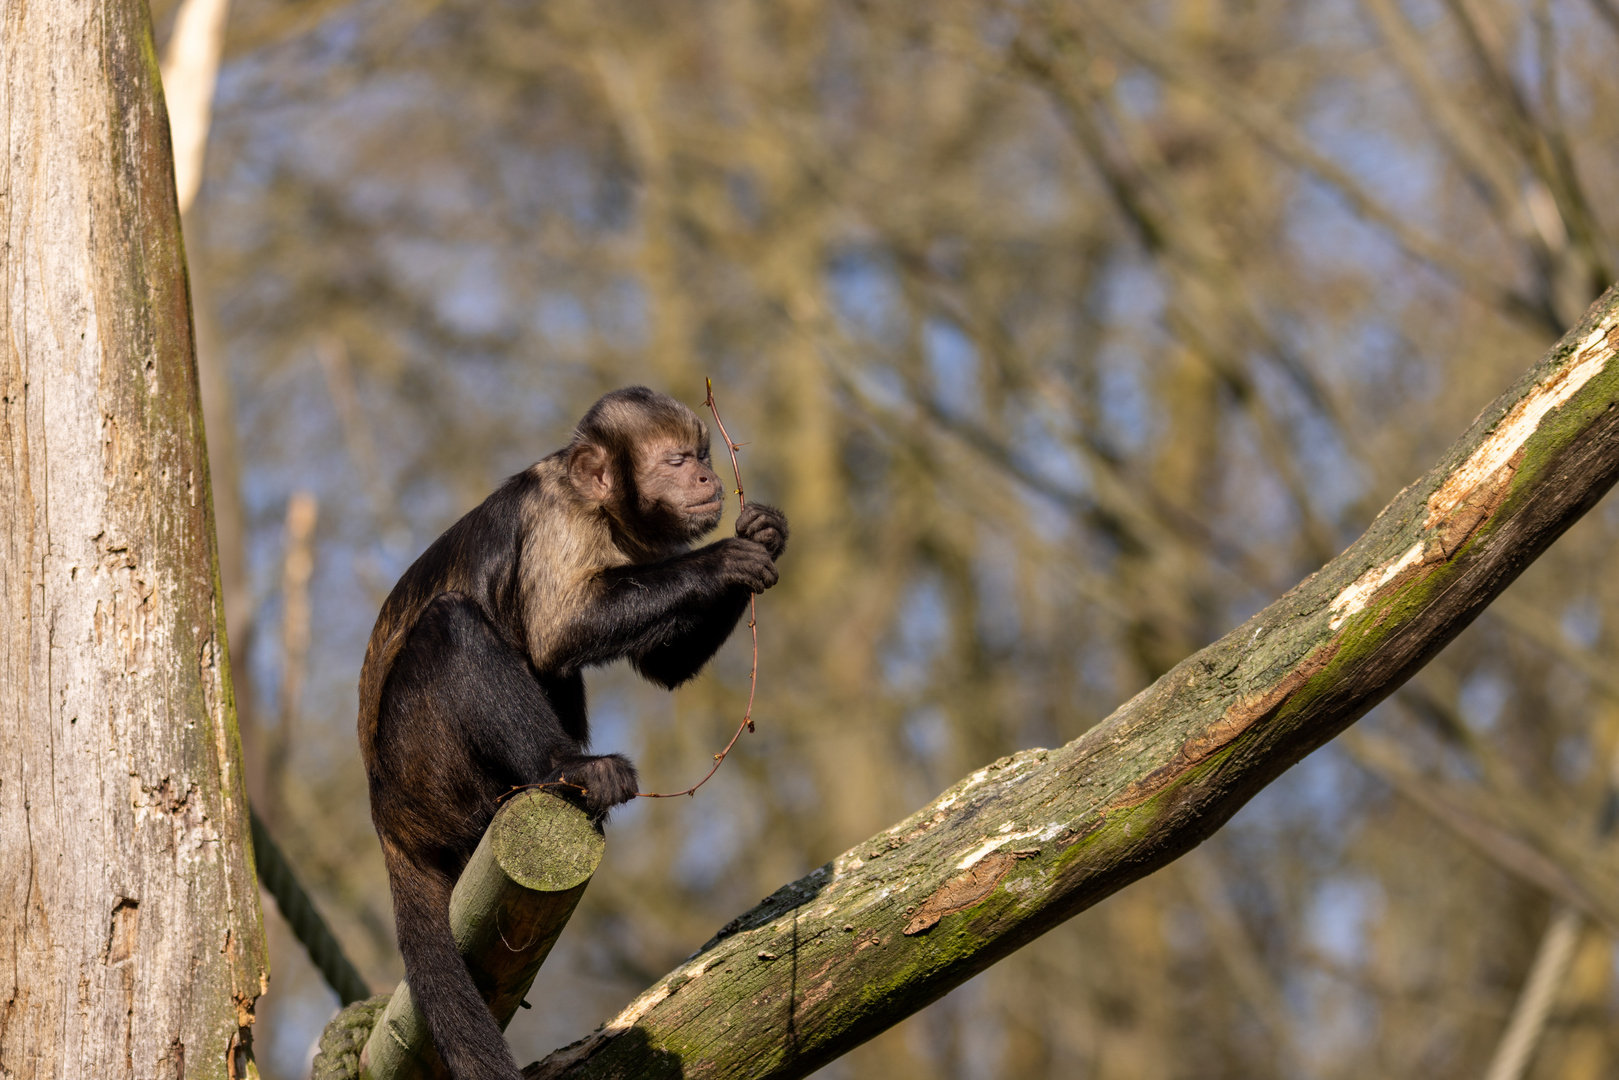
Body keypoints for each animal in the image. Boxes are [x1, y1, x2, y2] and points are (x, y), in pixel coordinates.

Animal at [357, 388, 786, 1080]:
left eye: (701, 457)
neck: (602, 508)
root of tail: (387, 819)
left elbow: (658, 668)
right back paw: (566, 768)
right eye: (676, 461)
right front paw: (722, 559)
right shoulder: (560, 516)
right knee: (453, 624)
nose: (705, 478)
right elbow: (558, 630)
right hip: (426, 770)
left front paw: (765, 535)